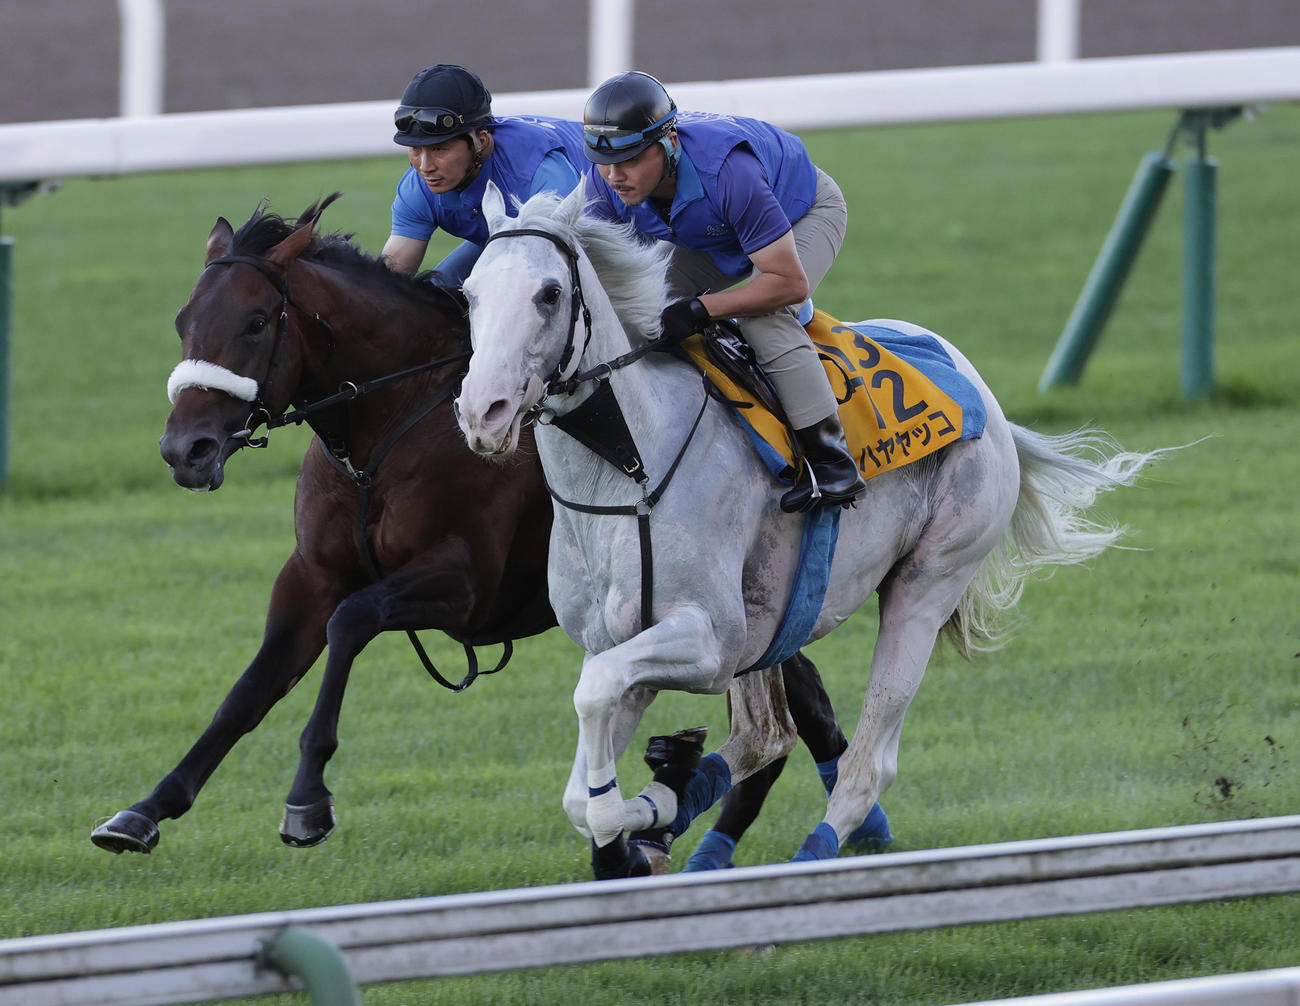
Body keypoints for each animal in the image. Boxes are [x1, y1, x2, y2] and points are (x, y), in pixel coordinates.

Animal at [89, 195, 882, 871]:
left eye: (256, 322)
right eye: (183, 319)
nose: (185, 449)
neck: (390, 426)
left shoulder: (465, 583)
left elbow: (353, 621)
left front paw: (308, 799)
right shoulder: (311, 574)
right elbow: (251, 687)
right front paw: (145, 809)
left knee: (790, 709)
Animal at [453, 181, 1172, 877]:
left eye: (549, 293)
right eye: (469, 293)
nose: (483, 411)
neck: (628, 471)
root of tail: (981, 393)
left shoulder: (709, 641)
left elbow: (595, 707)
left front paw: (643, 818)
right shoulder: (625, 643)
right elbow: (583, 780)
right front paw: (649, 812)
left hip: (929, 579)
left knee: (868, 760)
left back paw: (815, 852)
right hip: (774, 621)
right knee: (768, 734)